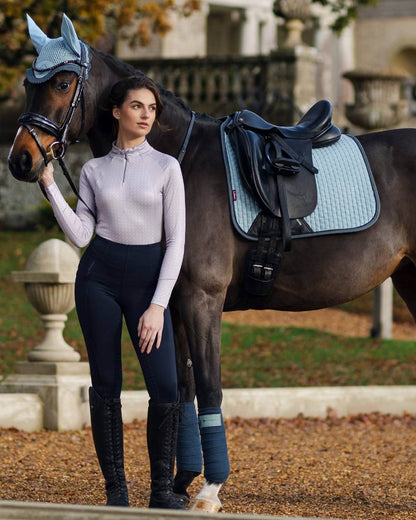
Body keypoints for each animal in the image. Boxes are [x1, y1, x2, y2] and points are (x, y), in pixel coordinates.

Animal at [8, 13, 416, 512]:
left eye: (63, 82)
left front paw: (209, 489)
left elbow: (208, 386)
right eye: (27, 83)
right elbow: (181, 390)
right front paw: (179, 484)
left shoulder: (203, 301)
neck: (182, 162)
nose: (21, 160)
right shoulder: (171, 306)